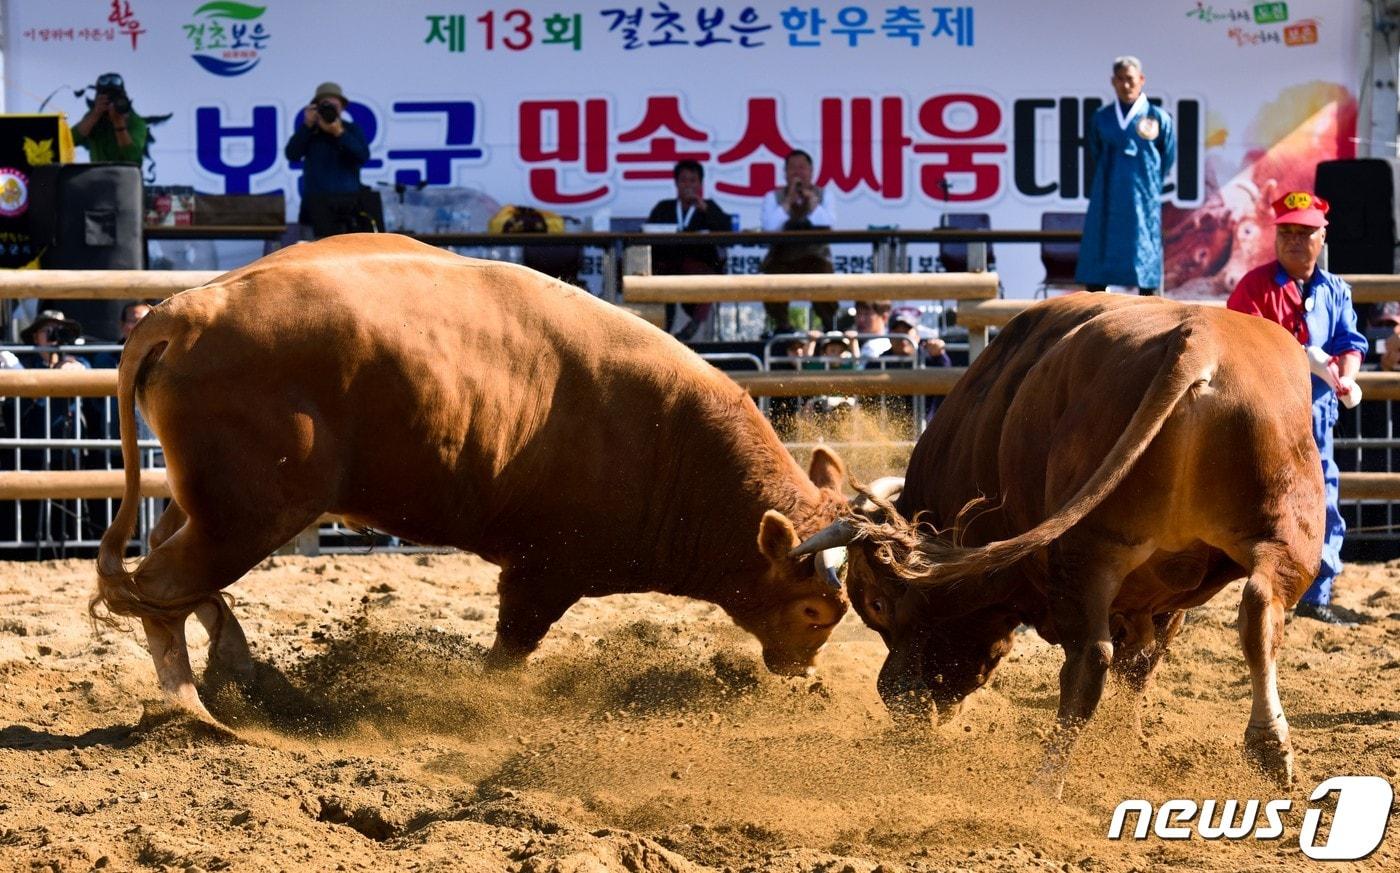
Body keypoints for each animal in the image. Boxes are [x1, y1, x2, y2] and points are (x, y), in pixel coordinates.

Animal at [95, 232, 851, 721]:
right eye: (813, 610)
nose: (804, 673)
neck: (674, 443)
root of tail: (188, 311)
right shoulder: (546, 570)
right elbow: (510, 649)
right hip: (250, 514)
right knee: (158, 586)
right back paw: (195, 709)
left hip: (208, 502)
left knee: (161, 572)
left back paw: (236, 668)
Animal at [800, 293, 1321, 800]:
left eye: (877, 604)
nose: (897, 698)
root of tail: (1198, 340)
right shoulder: (1160, 604)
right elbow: (1139, 667)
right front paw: (1123, 748)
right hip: (1287, 536)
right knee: (1259, 610)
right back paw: (1270, 748)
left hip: (1089, 554)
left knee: (1089, 659)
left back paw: (1046, 780)